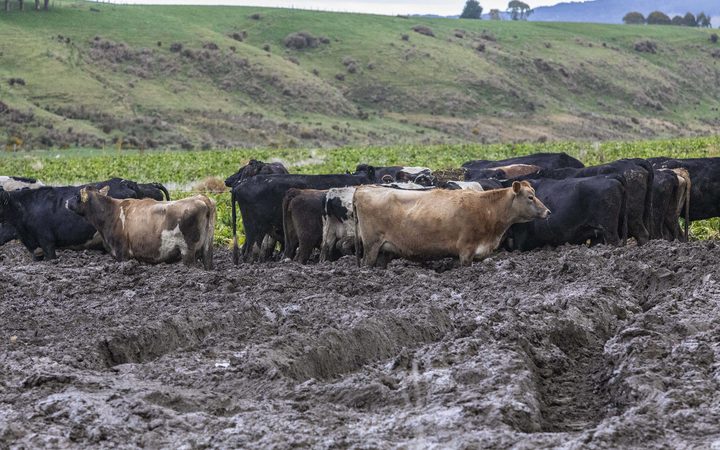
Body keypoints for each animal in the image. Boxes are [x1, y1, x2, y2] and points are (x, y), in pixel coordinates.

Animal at [68, 185, 217, 268]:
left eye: (77, 196)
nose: (67, 201)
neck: (110, 212)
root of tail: (202, 198)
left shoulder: (122, 252)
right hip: (207, 248)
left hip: (188, 251)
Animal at [352, 181, 548, 268]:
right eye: (530, 197)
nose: (548, 212)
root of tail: (364, 187)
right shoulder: (466, 250)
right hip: (371, 246)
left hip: (384, 250)